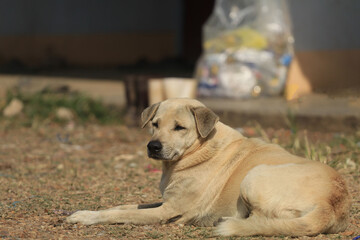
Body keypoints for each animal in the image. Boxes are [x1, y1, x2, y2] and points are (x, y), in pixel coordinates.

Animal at [66, 98, 350, 236]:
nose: (153, 146)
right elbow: (123, 207)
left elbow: (119, 214)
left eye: (179, 127)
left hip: (254, 175)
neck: (197, 150)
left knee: (263, 219)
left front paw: (85, 217)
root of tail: (331, 204)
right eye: (155, 124)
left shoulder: (168, 210)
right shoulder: (165, 201)